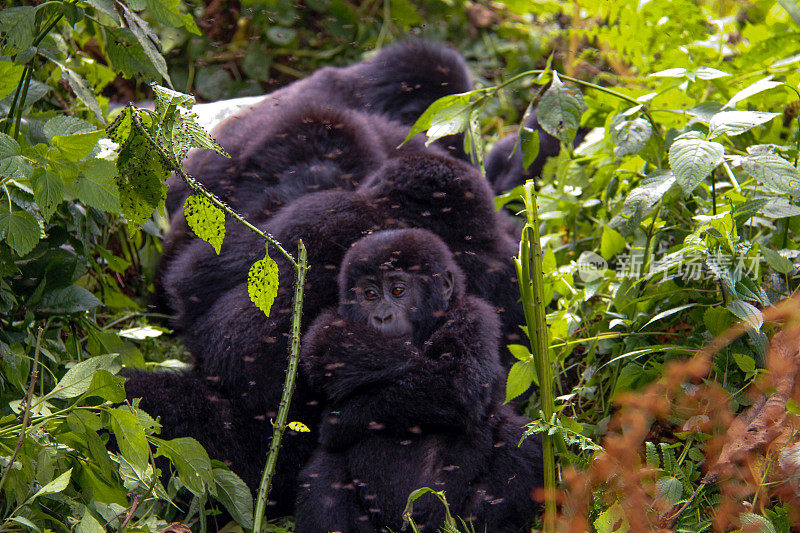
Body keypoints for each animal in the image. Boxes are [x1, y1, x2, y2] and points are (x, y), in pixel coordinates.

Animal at [296, 229, 544, 532]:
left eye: (398, 290)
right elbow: (327, 343)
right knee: (323, 468)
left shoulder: (475, 315)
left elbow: (457, 385)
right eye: (369, 294)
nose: (382, 316)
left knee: (520, 440)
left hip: (446, 518)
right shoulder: (328, 324)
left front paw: (342, 417)